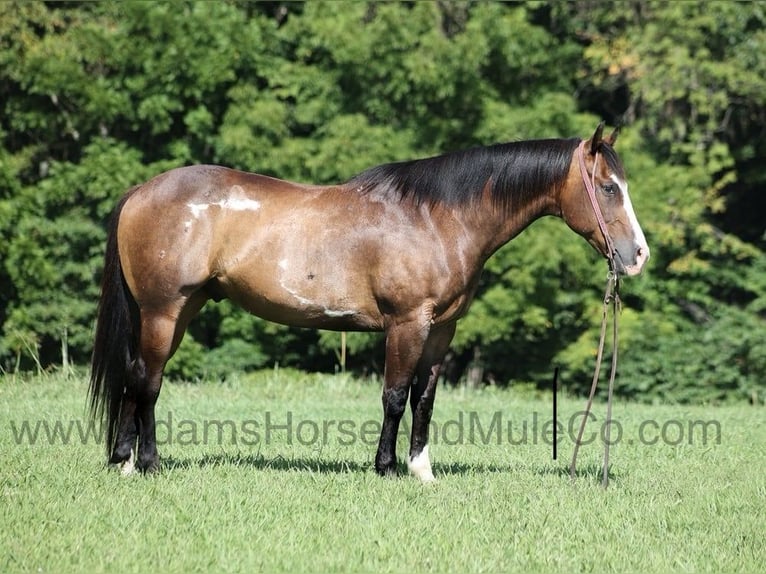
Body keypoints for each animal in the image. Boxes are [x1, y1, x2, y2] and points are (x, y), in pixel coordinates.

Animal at [89, 123, 649, 481]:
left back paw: (129, 461)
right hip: (164, 311)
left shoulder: (441, 328)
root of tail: (141, 191)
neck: (436, 218)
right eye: (608, 187)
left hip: (180, 310)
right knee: (147, 381)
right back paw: (142, 464)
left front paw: (422, 470)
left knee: (139, 377)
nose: (638, 255)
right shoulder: (407, 323)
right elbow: (395, 395)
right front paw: (385, 468)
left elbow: (425, 398)